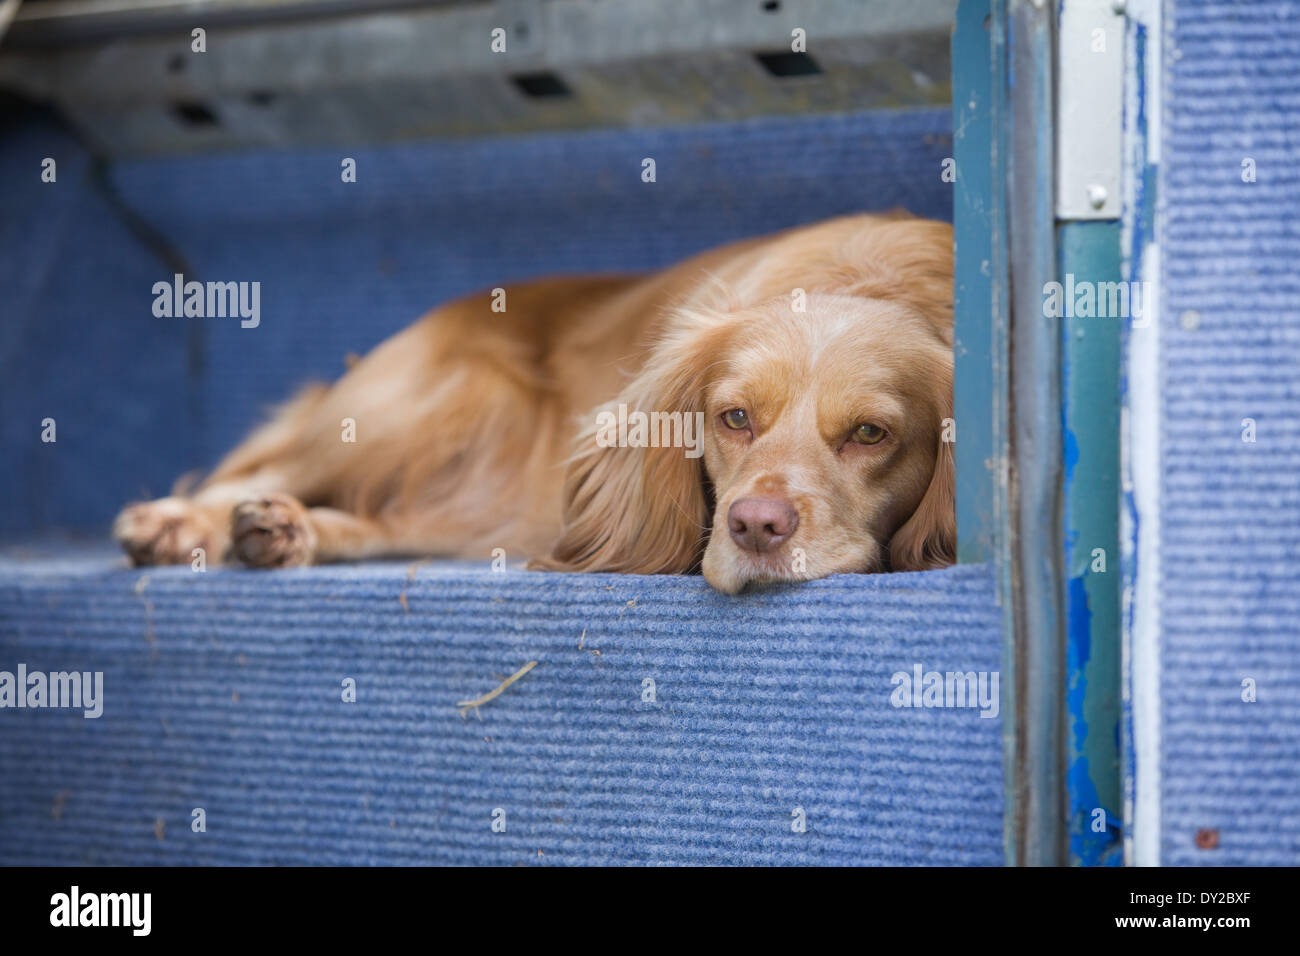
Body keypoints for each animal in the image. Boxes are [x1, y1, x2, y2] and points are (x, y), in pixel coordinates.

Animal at [114, 213, 956, 595]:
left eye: (871, 433)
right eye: (734, 418)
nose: (755, 526)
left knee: (387, 522)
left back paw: (285, 531)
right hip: (431, 405)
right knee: (256, 472)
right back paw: (176, 524)